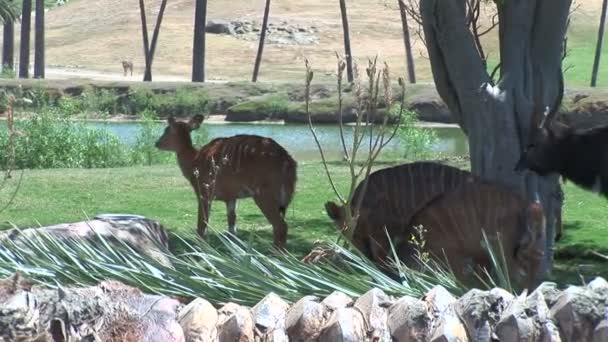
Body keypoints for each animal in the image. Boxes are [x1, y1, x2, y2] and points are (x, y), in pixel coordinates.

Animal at [154, 115, 296, 248]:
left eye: (167, 130)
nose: (156, 143)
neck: (193, 162)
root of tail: (288, 162)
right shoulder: (231, 196)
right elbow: (232, 226)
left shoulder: (204, 190)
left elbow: (202, 223)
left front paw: (200, 247)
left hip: (264, 193)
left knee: (280, 226)